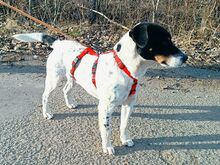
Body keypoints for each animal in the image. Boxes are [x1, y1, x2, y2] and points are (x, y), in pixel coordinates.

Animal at [12, 22, 187, 155]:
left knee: (66, 90)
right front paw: (108, 147)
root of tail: (58, 43)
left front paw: (124, 140)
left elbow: (124, 125)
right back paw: (47, 113)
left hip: (73, 78)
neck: (124, 68)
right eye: (164, 41)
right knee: (45, 96)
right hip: (54, 79)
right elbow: (106, 129)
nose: (186, 58)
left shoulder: (129, 104)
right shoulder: (105, 107)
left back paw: (70, 104)